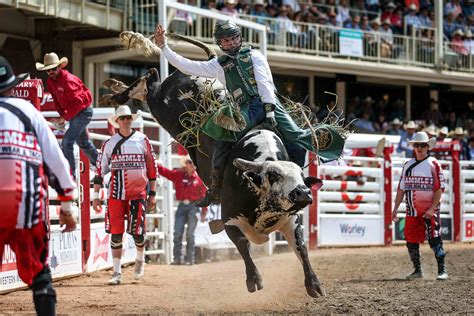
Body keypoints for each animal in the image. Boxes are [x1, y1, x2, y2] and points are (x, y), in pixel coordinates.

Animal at [100, 31, 326, 296]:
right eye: (273, 176)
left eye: (300, 178)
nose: (303, 192)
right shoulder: (229, 219)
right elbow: (242, 245)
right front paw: (254, 280)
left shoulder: (291, 220)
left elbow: (301, 247)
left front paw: (314, 284)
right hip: (160, 105)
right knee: (148, 83)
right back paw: (114, 88)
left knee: (148, 82)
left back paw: (114, 84)